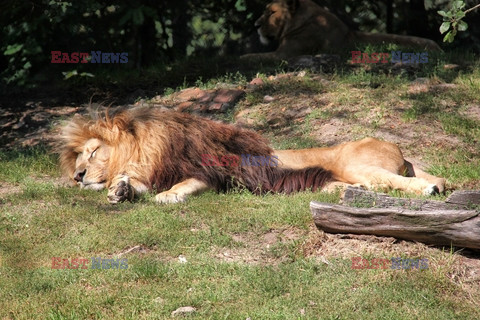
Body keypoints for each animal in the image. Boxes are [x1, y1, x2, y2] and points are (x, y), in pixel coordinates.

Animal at [57, 106, 446, 204]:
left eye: (93, 152)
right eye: (78, 161)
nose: (77, 176)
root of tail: (399, 149)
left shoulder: (213, 174)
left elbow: (182, 185)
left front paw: (168, 195)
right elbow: (133, 186)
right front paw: (120, 190)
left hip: (358, 164)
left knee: (409, 182)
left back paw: (429, 190)